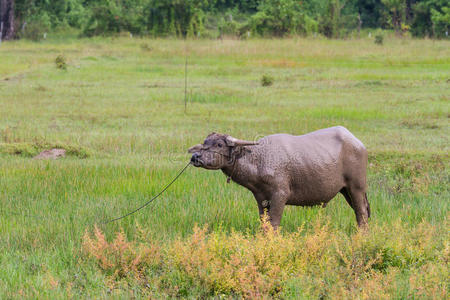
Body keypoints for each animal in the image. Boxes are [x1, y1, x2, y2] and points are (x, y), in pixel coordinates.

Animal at [189, 125, 370, 229]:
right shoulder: (261, 198)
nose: (195, 157)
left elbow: (274, 222)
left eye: (219, 144)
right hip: (345, 190)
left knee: (361, 213)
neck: (259, 160)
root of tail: (358, 143)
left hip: (357, 187)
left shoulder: (280, 195)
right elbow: (264, 223)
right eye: (204, 143)